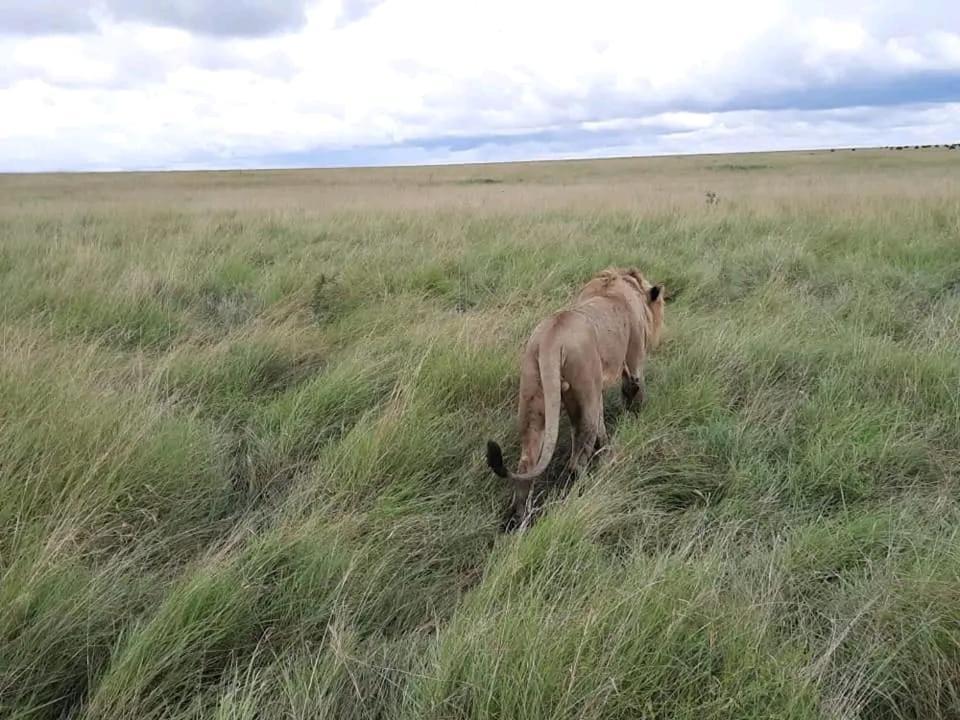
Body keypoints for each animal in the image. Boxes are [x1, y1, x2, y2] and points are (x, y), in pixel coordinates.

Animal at [484, 268, 664, 520]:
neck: (623, 284)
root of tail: (551, 339)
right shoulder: (633, 364)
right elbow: (633, 395)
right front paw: (636, 423)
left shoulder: (597, 390)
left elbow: (602, 421)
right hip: (584, 390)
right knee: (577, 460)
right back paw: (583, 492)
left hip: (534, 395)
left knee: (527, 463)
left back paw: (520, 518)